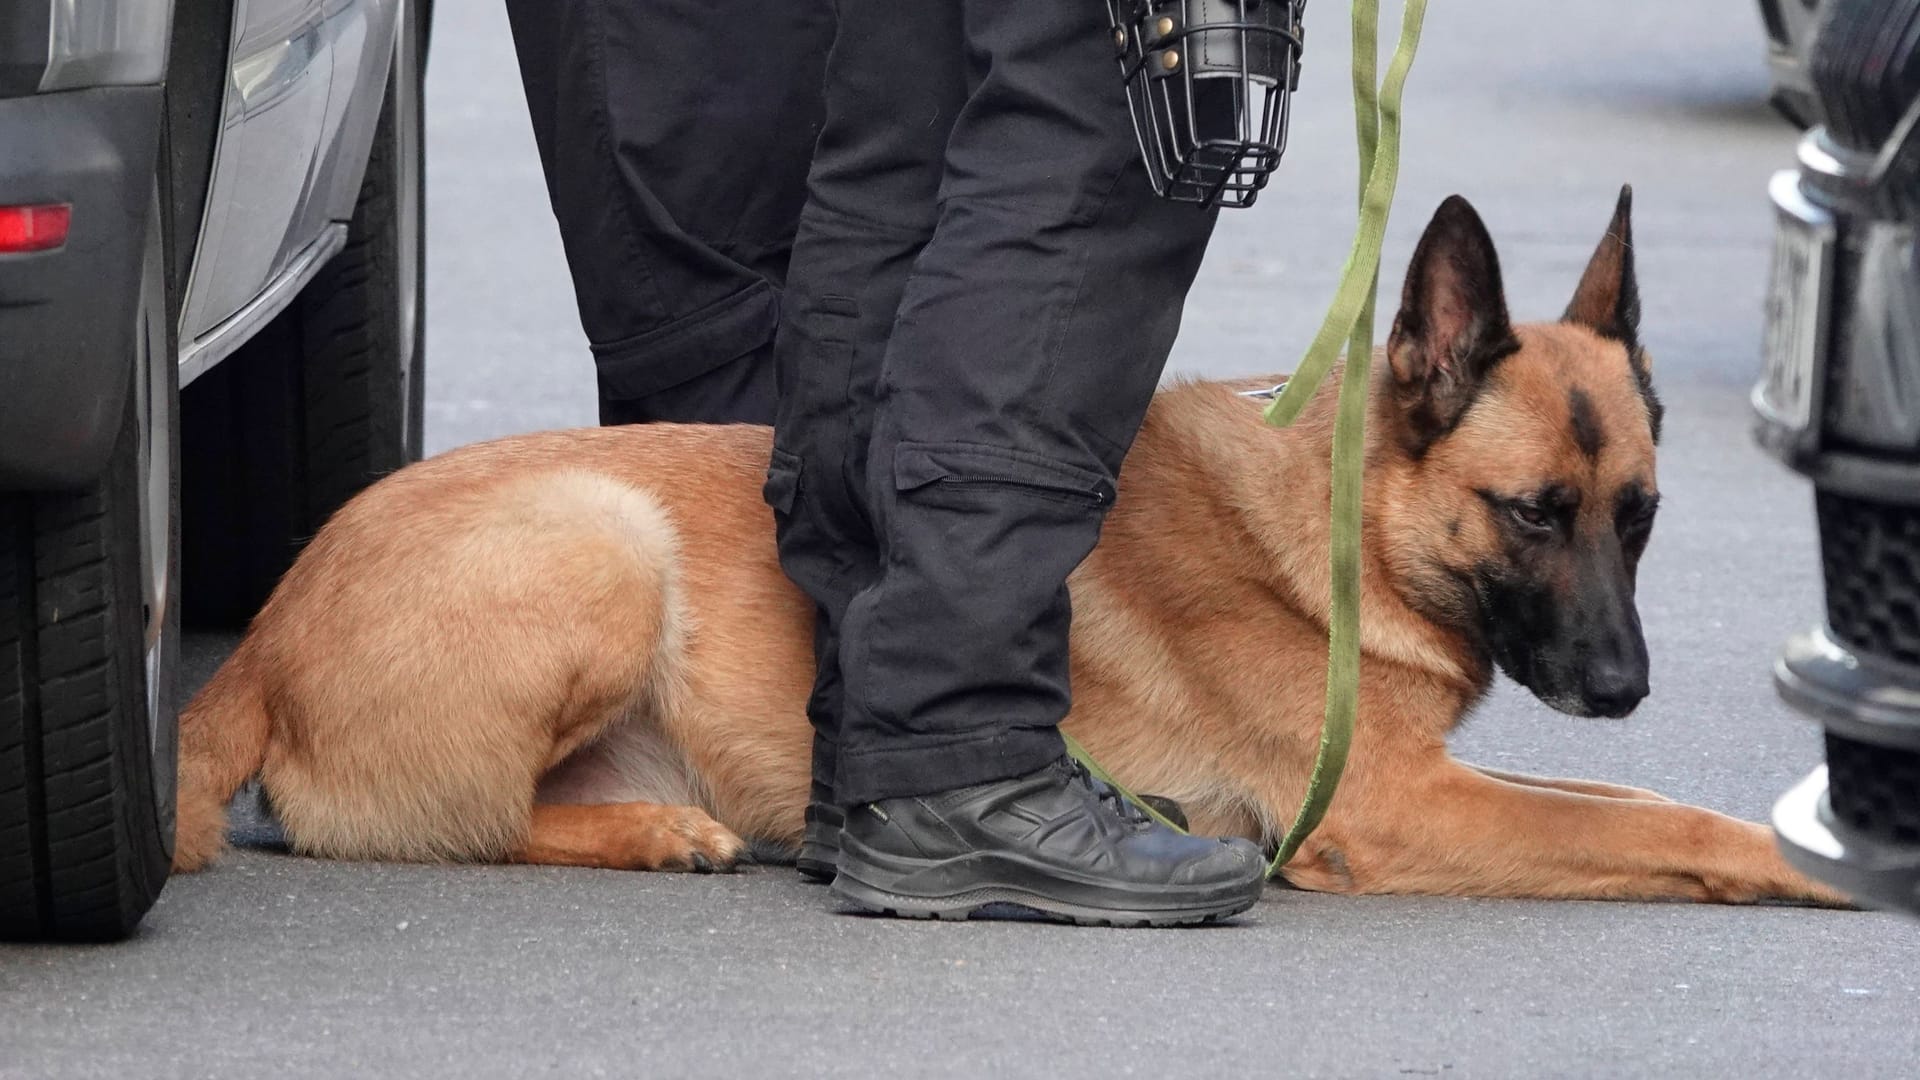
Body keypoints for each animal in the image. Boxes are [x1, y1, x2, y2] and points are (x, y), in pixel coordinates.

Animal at [176, 189, 1843, 903]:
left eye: (1639, 517)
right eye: (1532, 513)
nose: (1625, 686)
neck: (1330, 534)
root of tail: (259, 639)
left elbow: (1636, 802)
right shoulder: (1397, 815)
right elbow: (1657, 827)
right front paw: (1804, 864)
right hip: (604, 540)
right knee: (415, 825)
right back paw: (658, 836)